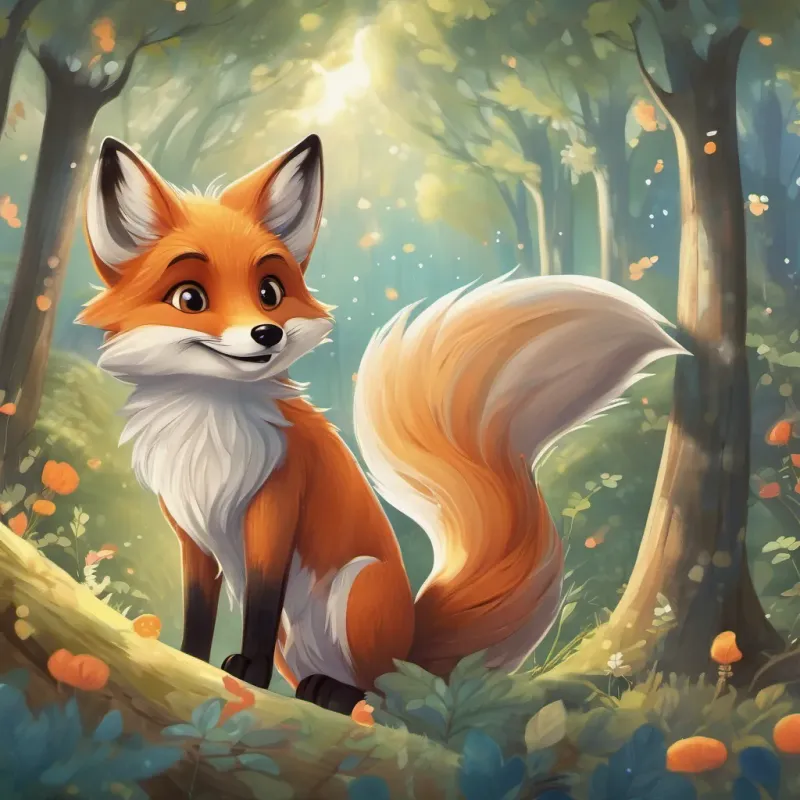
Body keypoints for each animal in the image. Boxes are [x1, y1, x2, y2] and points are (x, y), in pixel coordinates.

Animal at [77, 133, 686, 717]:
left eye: (269, 293)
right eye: (190, 298)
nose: (266, 334)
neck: (210, 427)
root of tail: (413, 643)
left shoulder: (276, 508)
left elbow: (260, 607)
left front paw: (247, 670)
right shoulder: (190, 528)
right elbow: (199, 611)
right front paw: (190, 659)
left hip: (357, 586)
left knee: (382, 692)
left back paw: (338, 694)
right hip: (303, 635)